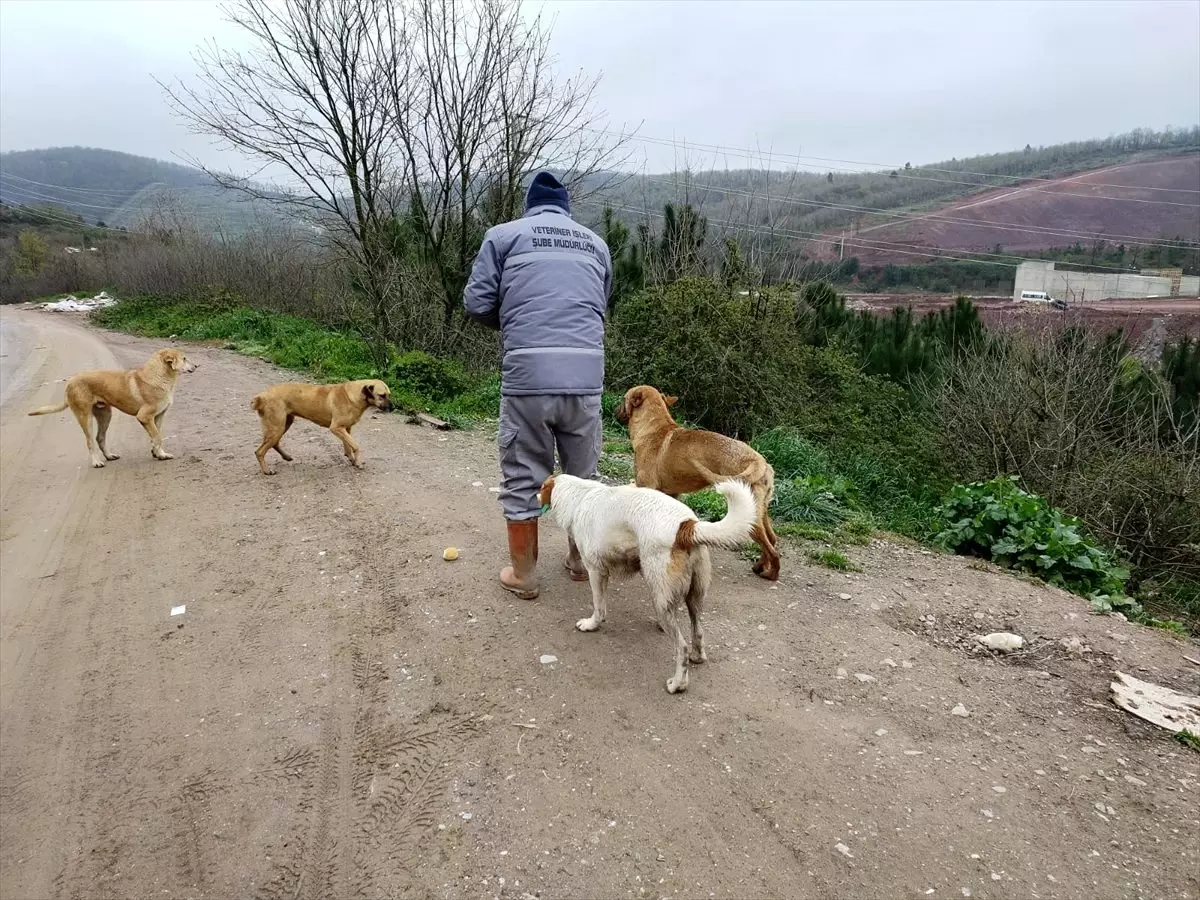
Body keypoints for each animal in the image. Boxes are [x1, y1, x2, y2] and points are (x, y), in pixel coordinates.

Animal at [29, 348, 199, 468]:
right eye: (184, 358)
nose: (197, 365)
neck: (159, 377)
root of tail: (70, 381)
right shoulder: (144, 417)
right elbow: (157, 437)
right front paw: (159, 453)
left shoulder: (158, 416)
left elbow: (156, 436)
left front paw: (159, 454)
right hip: (85, 417)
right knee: (90, 441)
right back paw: (97, 462)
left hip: (105, 415)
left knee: (100, 438)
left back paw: (109, 456)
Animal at [252, 381, 393, 480]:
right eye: (382, 395)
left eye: (389, 395)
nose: (393, 408)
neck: (353, 395)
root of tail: (262, 396)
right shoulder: (336, 428)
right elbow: (355, 446)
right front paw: (358, 462)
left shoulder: (346, 429)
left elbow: (348, 446)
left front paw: (352, 459)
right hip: (277, 428)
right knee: (259, 451)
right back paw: (267, 471)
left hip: (284, 425)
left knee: (273, 444)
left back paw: (286, 457)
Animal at [540, 472, 753, 696]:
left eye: (541, 487)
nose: (535, 496)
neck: (580, 497)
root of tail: (687, 525)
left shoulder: (596, 571)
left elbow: (598, 607)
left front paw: (591, 625)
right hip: (694, 596)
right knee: (697, 631)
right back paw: (697, 657)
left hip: (660, 598)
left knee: (682, 648)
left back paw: (678, 684)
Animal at [614, 384, 782, 580]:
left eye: (623, 399)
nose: (615, 412)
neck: (654, 429)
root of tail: (758, 461)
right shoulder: (671, 494)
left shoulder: (647, 488)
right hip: (761, 513)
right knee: (771, 540)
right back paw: (760, 567)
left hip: (751, 520)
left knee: (772, 550)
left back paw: (771, 574)